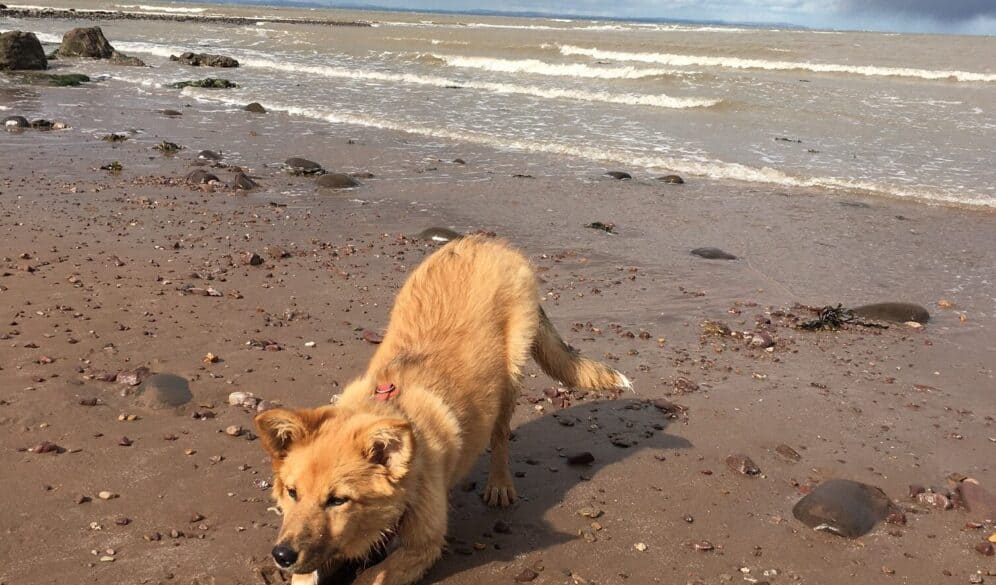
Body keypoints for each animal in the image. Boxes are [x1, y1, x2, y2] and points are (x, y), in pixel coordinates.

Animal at [256, 236, 632, 584]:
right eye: (292, 492)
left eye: (338, 500)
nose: (282, 555)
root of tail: (491, 242)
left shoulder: (424, 545)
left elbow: (370, 576)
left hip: (510, 377)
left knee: (500, 437)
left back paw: (499, 484)